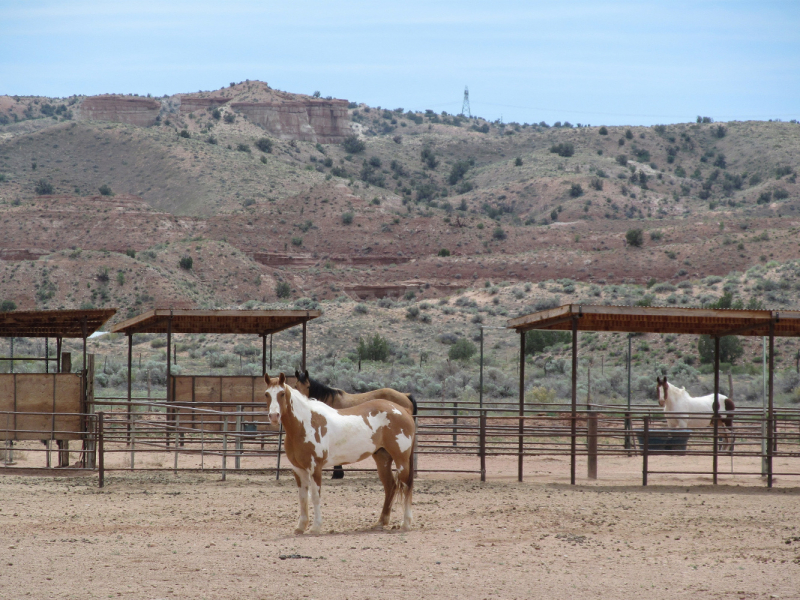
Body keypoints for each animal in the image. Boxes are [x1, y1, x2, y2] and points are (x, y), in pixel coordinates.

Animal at [266, 372, 416, 532]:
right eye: (267, 394)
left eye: (282, 393)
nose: (274, 416)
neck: (304, 424)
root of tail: (403, 411)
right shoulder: (298, 469)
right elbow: (302, 497)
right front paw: (301, 527)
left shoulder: (315, 467)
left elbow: (315, 495)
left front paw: (316, 527)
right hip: (383, 459)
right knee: (390, 486)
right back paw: (381, 522)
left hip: (401, 459)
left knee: (406, 486)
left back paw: (406, 523)